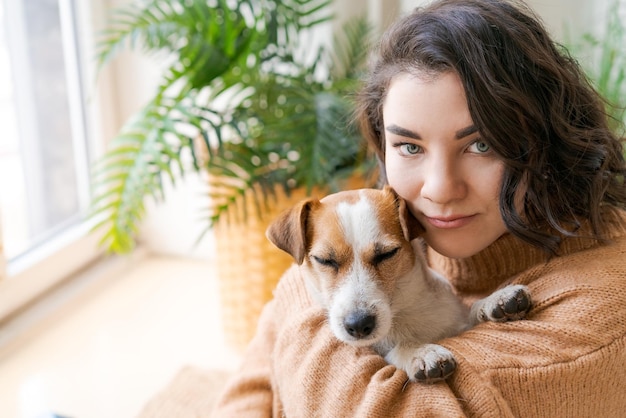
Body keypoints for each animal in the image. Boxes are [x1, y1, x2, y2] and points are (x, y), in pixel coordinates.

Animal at [266, 188, 528, 384]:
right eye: (324, 260)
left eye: (387, 254)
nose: (358, 325)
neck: (403, 314)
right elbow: (397, 350)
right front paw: (420, 352)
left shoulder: (456, 321)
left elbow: (470, 311)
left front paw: (495, 301)